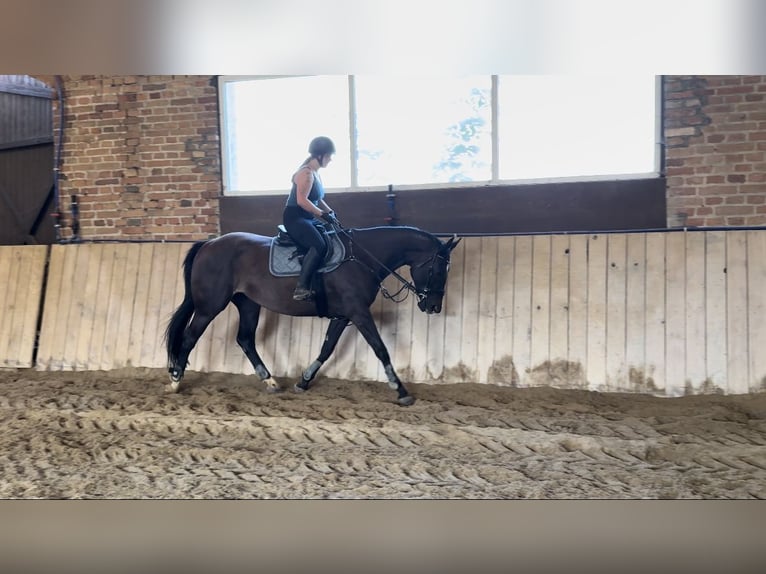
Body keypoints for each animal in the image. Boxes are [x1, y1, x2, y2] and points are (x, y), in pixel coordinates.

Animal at [164, 224, 461, 406]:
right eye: (439, 269)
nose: (433, 307)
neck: (361, 257)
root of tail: (209, 244)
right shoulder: (358, 312)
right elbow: (380, 348)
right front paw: (401, 391)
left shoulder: (344, 315)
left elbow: (327, 348)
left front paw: (304, 381)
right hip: (210, 306)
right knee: (190, 337)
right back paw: (176, 381)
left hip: (248, 304)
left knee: (245, 339)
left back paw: (270, 381)